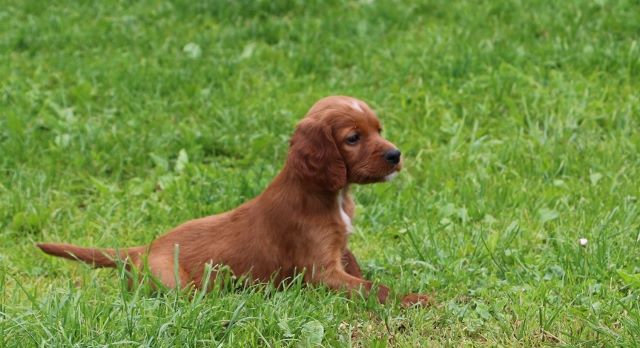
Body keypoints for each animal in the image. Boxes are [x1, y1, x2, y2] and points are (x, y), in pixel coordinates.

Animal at [38, 96, 430, 306]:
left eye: (378, 130)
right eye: (353, 138)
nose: (396, 155)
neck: (328, 195)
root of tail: (138, 251)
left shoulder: (341, 250)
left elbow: (360, 272)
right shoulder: (320, 270)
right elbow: (370, 288)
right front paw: (412, 300)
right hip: (175, 283)